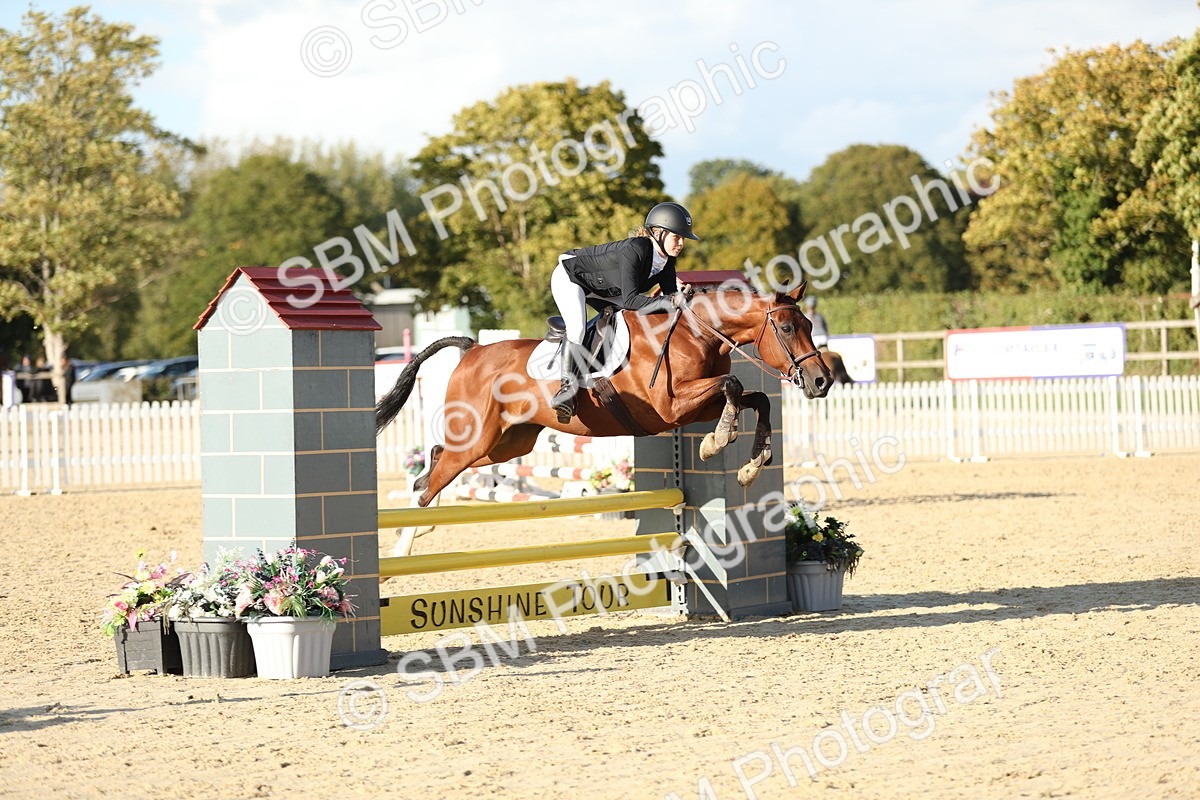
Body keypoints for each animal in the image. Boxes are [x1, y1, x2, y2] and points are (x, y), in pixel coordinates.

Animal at [376, 282, 833, 508]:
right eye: (788, 328)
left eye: (810, 324)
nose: (821, 381)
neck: (695, 333)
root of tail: (473, 350)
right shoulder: (670, 406)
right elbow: (734, 386)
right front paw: (717, 442)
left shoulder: (693, 408)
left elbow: (755, 398)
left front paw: (751, 465)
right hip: (478, 437)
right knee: (439, 472)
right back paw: (417, 505)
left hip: (505, 443)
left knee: (441, 455)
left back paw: (421, 484)